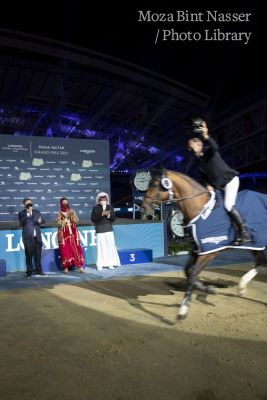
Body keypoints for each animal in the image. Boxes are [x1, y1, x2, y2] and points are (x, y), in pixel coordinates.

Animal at [142, 169, 267, 318]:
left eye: (156, 184)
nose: (143, 206)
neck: (199, 209)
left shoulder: (209, 252)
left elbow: (193, 273)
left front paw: (183, 310)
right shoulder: (198, 249)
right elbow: (188, 271)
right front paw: (208, 289)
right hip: (256, 244)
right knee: (260, 263)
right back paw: (241, 287)